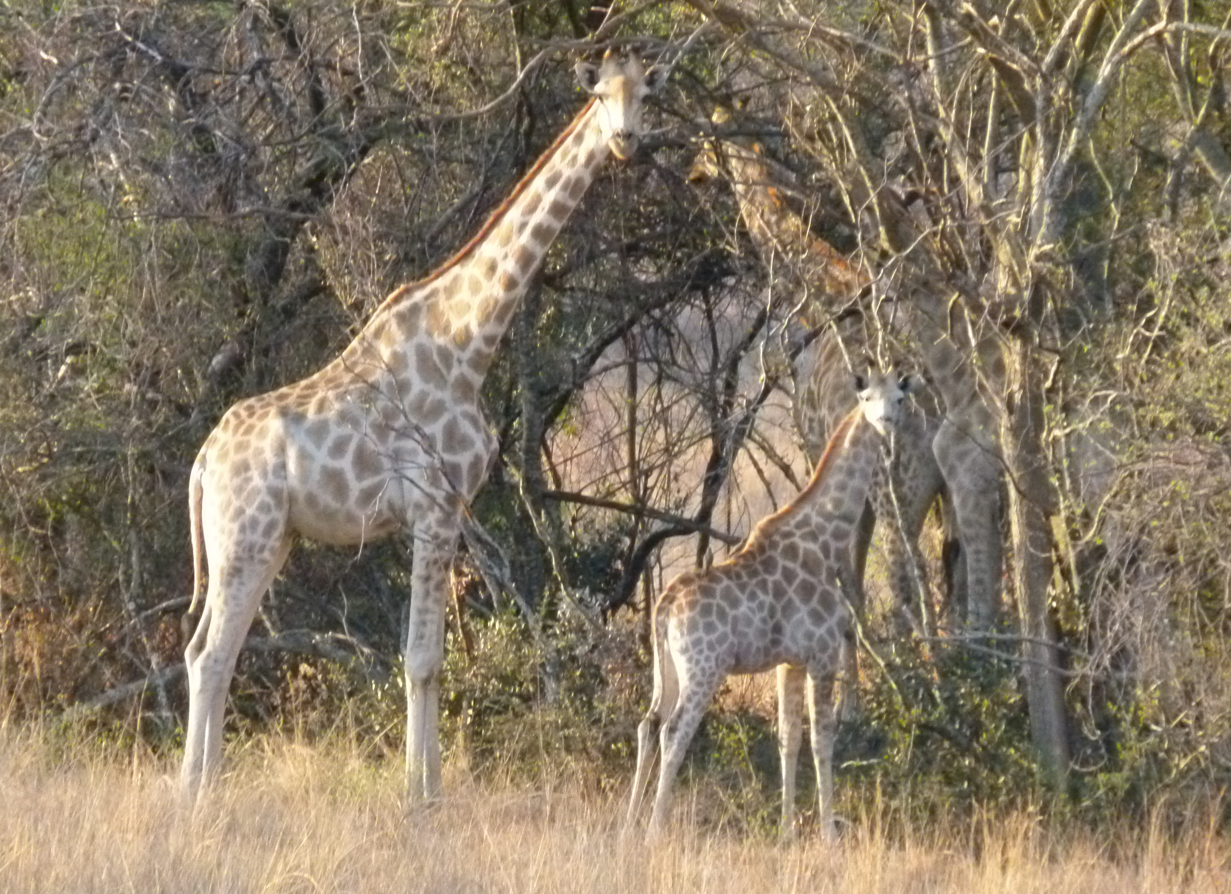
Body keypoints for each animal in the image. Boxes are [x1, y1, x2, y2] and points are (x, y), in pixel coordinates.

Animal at [180, 51, 666, 803]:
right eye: (598, 95)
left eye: (645, 95)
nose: (624, 141)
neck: (468, 339)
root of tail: (203, 463)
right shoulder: (433, 506)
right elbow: (422, 659)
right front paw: (420, 798)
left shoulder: (452, 510)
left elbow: (430, 657)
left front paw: (428, 788)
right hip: (245, 534)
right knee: (208, 654)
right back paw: (194, 796)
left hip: (269, 538)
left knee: (211, 648)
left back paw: (204, 786)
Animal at [625, 370, 918, 840]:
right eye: (867, 398)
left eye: (900, 398)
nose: (886, 420)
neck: (826, 537)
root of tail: (665, 605)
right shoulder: (822, 654)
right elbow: (821, 740)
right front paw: (828, 833)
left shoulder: (789, 662)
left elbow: (788, 739)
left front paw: (786, 830)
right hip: (704, 667)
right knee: (674, 731)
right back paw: (654, 831)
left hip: (665, 667)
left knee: (648, 724)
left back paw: (629, 828)